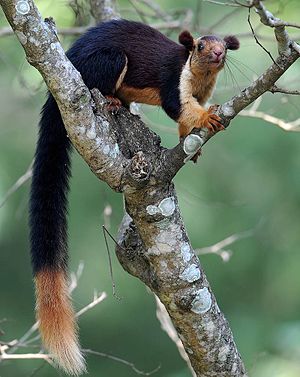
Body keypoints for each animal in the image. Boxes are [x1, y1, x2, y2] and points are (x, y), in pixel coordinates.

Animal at [28, 19, 239, 374]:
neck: (198, 77)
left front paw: (190, 141)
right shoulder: (173, 82)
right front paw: (207, 117)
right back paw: (111, 101)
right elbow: (179, 108)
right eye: (200, 46)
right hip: (108, 62)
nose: (217, 54)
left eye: (223, 46)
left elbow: (184, 124)